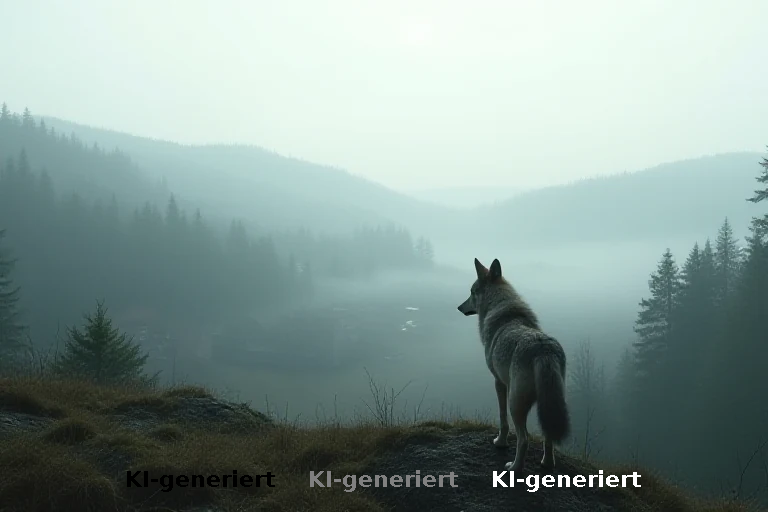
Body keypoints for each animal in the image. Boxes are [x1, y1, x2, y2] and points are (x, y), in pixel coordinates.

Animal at [457, 258, 570, 472]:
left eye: (472, 292)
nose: (459, 307)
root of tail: (543, 350)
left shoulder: (499, 383)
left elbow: (502, 421)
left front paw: (500, 442)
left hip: (515, 404)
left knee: (524, 438)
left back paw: (514, 468)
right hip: (548, 402)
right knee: (548, 436)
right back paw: (547, 464)